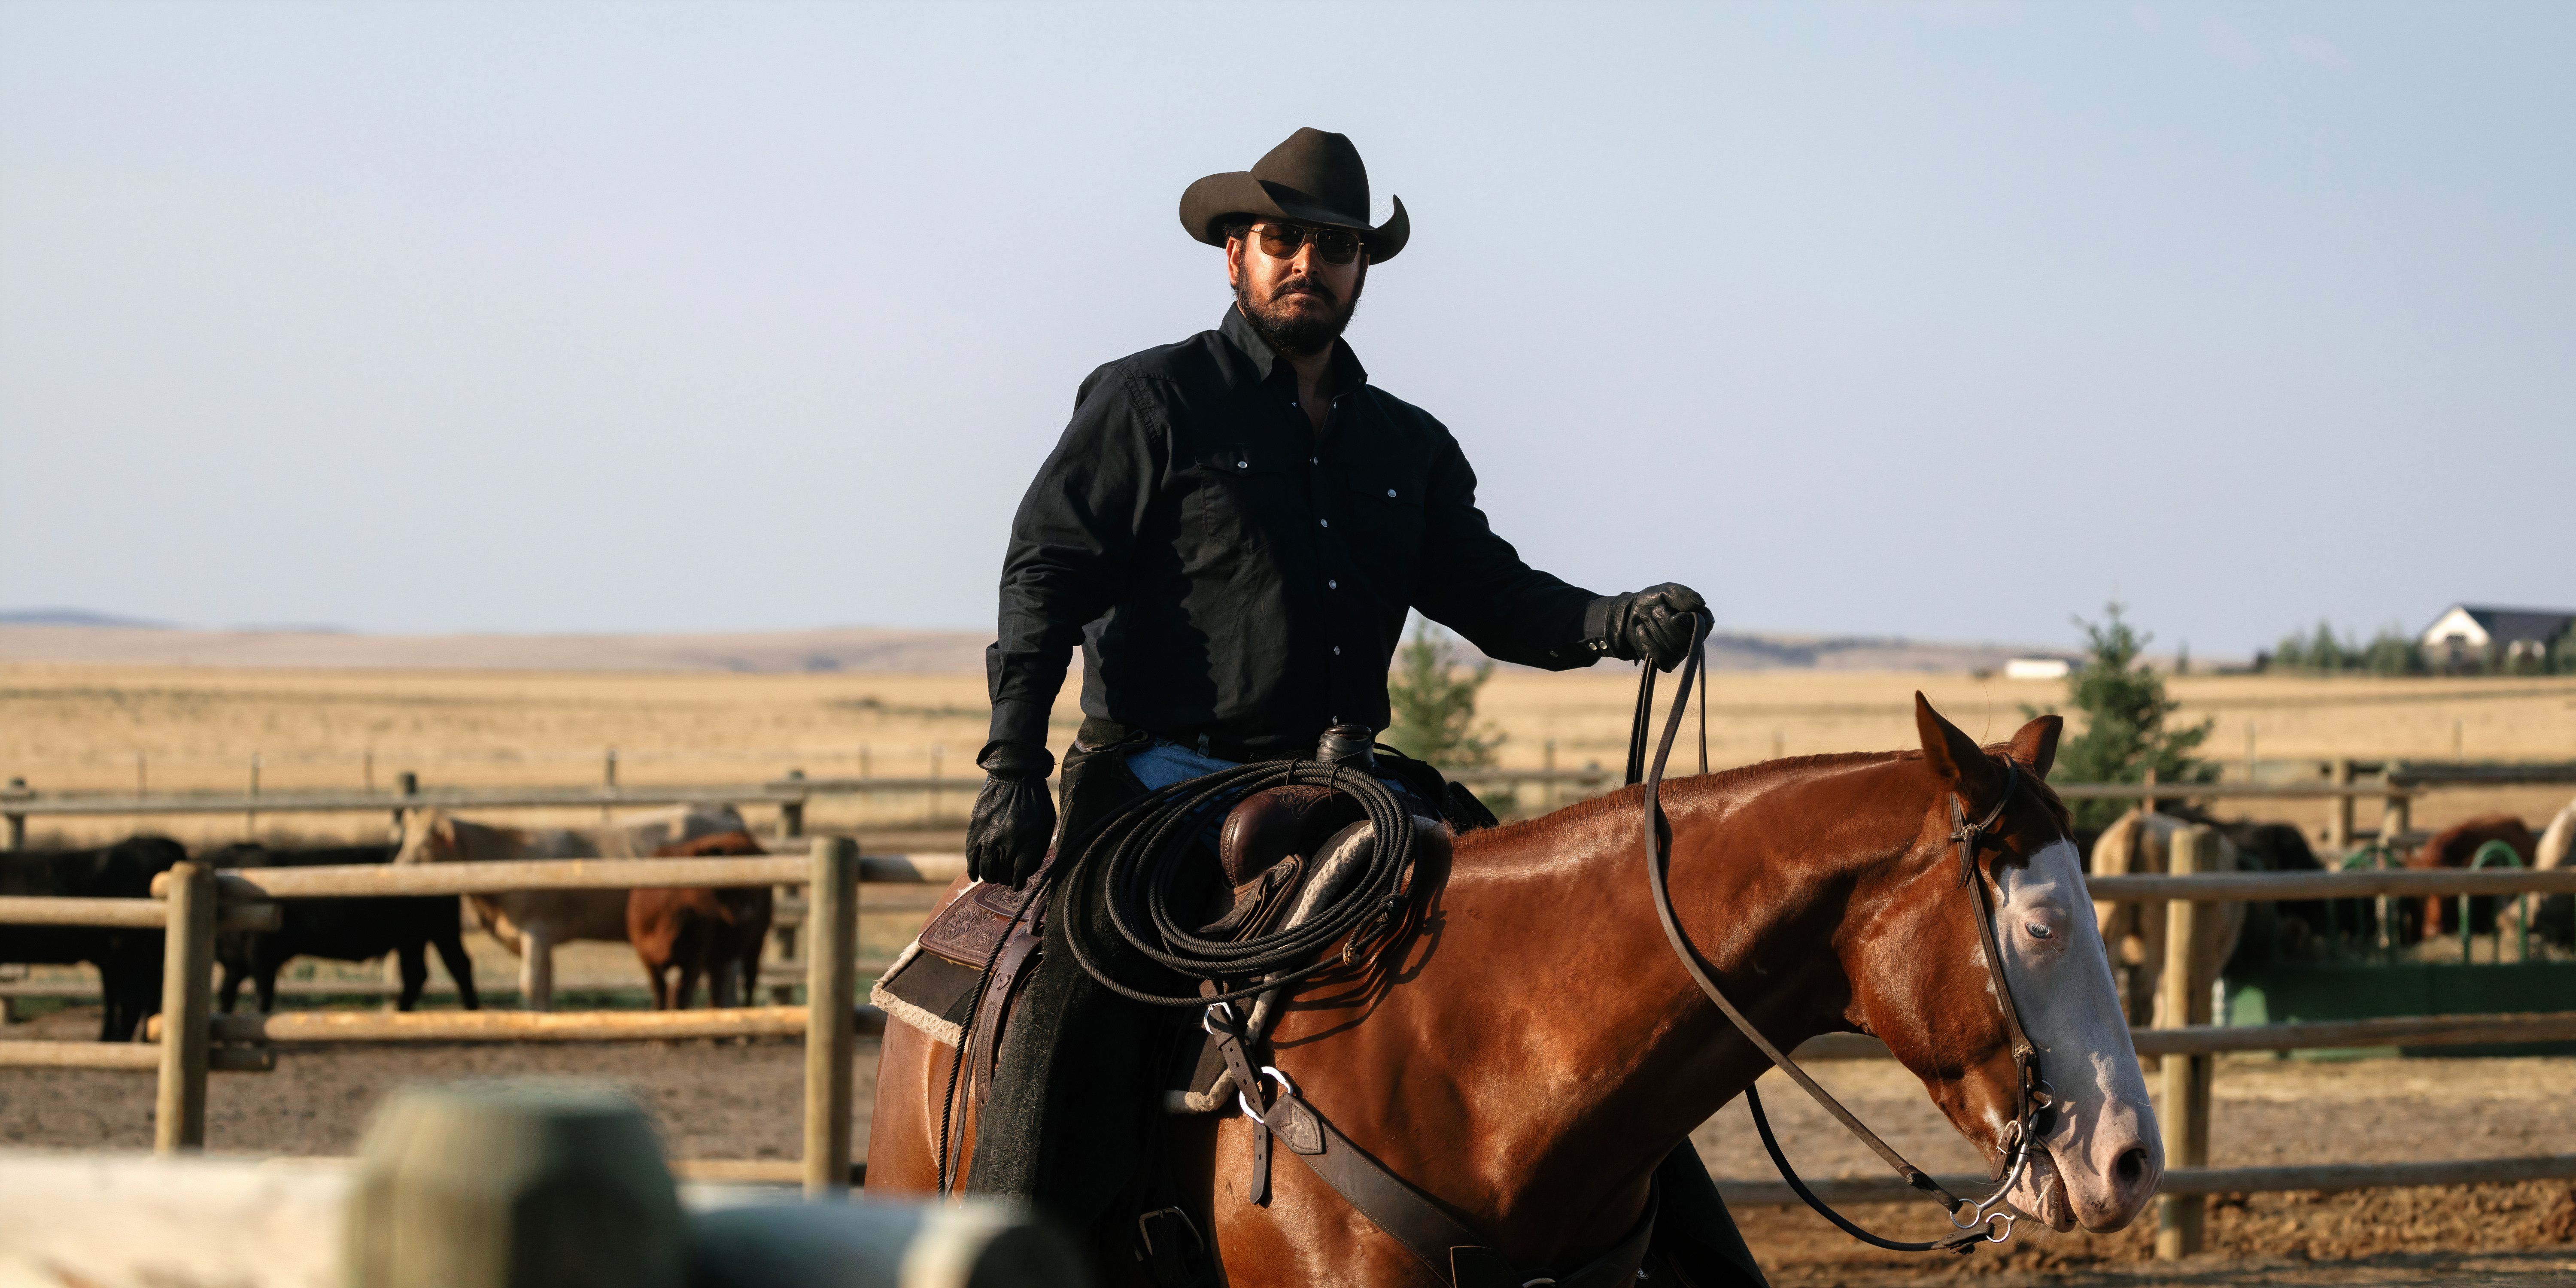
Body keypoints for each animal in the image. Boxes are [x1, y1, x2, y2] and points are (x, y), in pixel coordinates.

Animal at [206, 845, 484, 1015]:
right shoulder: (235, 965)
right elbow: (225, 999)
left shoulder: (263, 960)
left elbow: (261, 1000)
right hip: (412, 940)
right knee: (417, 975)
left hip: (441, 932)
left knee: (459, 966)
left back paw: (472, 1013)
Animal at [626, 829, 768, 1010]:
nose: (751, 907)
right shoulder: (645, 956)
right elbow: (660, 992)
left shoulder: (696, 958)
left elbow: (682, 994)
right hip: (719, 959)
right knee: (717, 988)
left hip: (757, 942)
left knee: (749, 982)